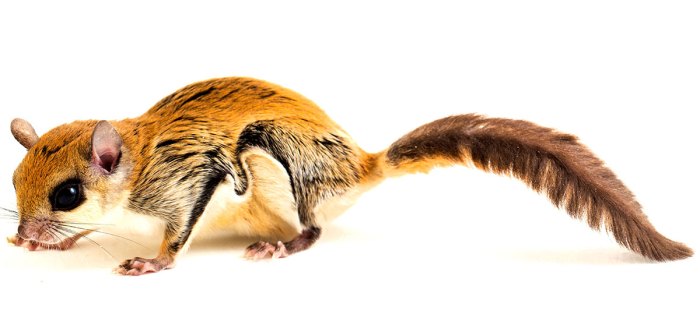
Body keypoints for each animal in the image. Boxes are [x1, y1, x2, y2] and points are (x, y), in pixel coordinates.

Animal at [6, 76, 696, 274]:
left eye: (68, 194)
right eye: (14, 185)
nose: (21, 237)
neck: (139, 162)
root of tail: (361, 164)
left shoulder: (191, 180)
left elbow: (179, 231)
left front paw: (152, 262)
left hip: (272, 158)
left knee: (312, 229)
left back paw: (279, 246)